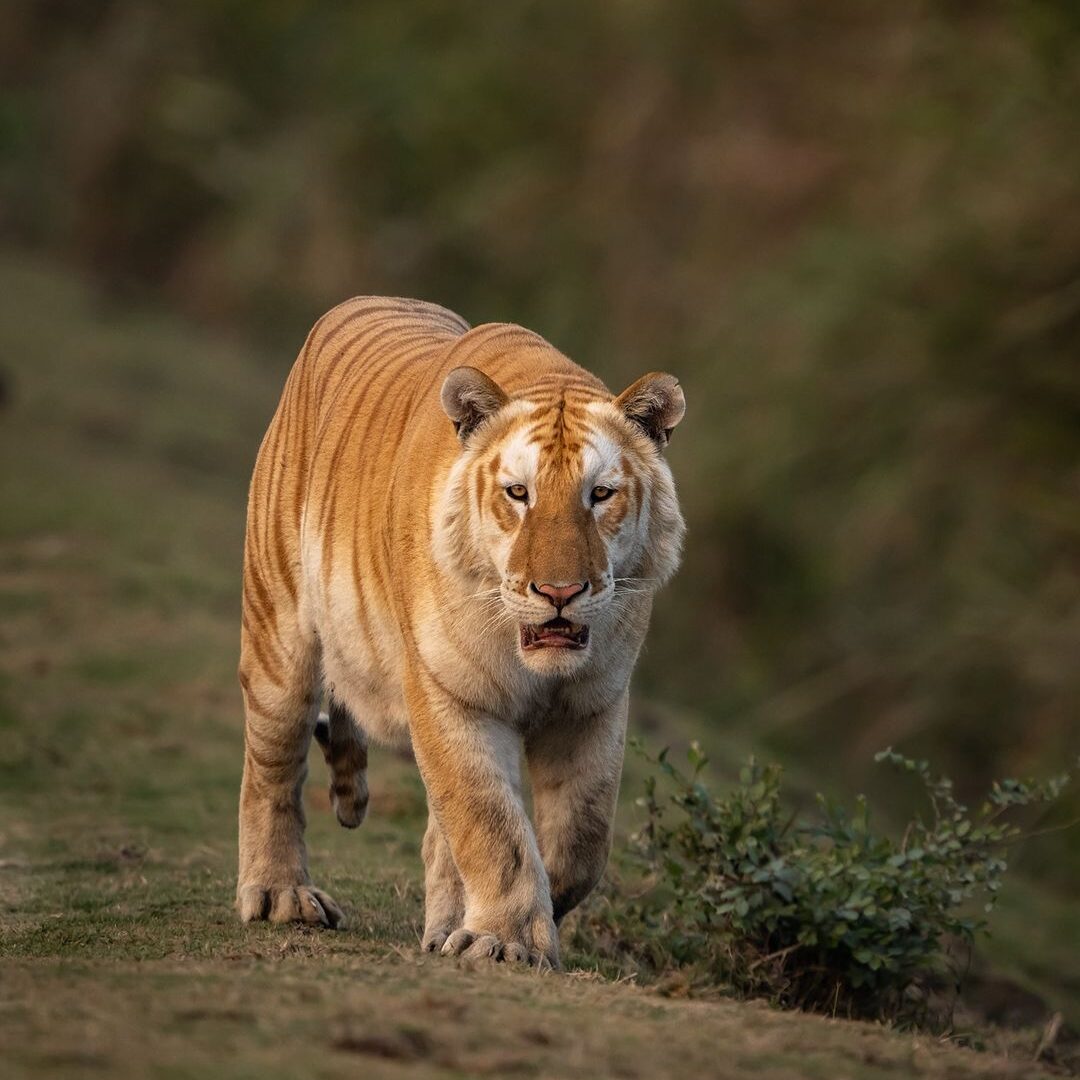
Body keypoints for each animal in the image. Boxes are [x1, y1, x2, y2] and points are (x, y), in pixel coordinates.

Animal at [240, 291, 686, 967]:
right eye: (519, 493)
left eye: (601, 494)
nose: (559, 593)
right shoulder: (451, 693)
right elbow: (491, 826)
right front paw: (506, 940)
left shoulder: (594, 705)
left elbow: (580, 840)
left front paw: (494, 927)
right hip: (279, 638)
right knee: (272, 769)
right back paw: (280, 896)